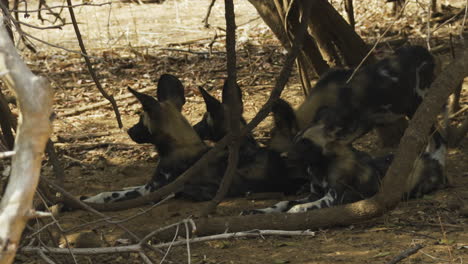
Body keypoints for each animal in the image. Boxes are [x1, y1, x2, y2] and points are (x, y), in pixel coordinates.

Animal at [243, 99, 448, 214]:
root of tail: (430, 158)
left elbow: (304, 206)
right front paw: (260, 210)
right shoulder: (313, 194)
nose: (284, 156)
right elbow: (283, 202)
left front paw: (296, 210)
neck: (320, 168)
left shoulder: (332, 198)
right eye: (295, 140)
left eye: (305, 143)